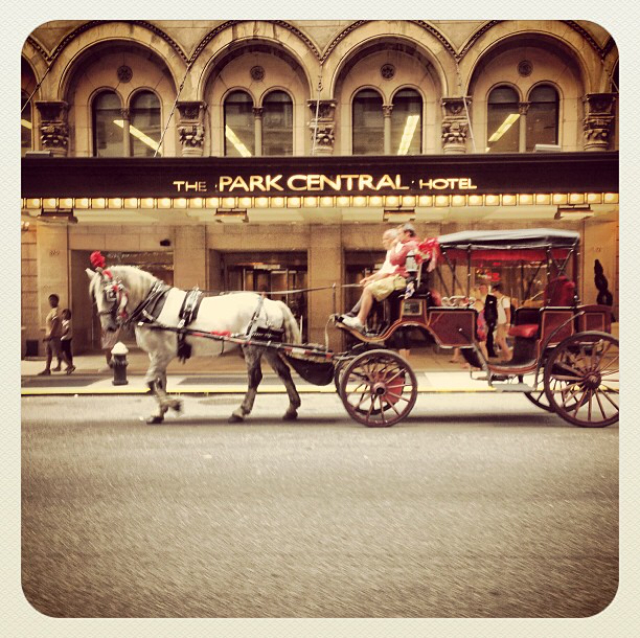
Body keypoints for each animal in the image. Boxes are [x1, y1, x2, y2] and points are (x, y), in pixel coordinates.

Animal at [86, 253, 302, 424]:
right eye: (94, 296)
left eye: (110, 293)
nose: (109, 327)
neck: (153, 305)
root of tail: (270, 302)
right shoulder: (156, 355)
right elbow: (159, 382)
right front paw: (159, 413)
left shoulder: (164, 353)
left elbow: (150, 382)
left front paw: (174, 404)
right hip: (267, 347)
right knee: (283, 372)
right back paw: (292, 408)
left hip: (252, 347)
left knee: (255, 377)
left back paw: (240, 411)